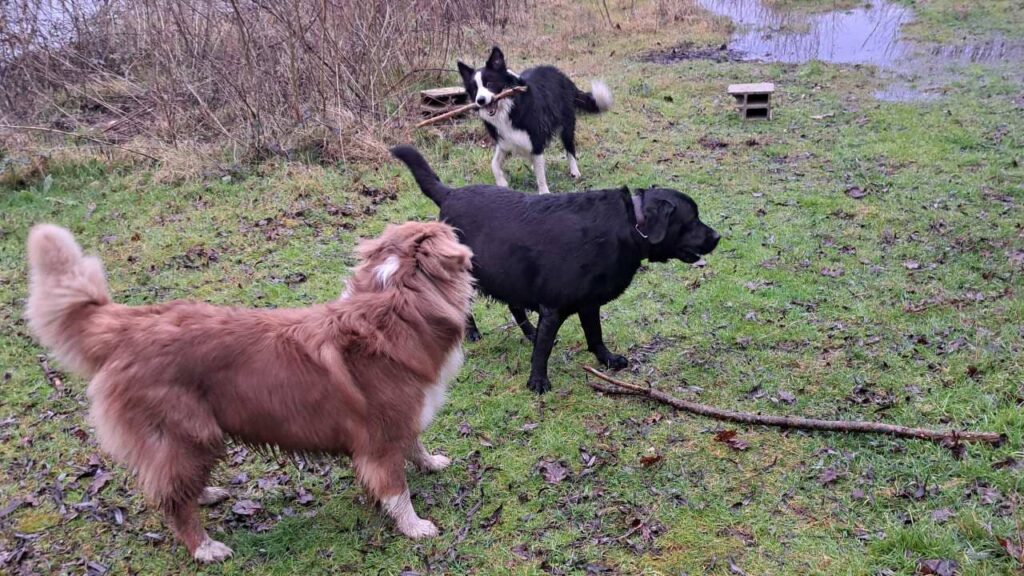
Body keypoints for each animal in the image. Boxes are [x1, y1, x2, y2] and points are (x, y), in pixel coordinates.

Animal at [27, 219, 475, 561]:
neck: (395, 304)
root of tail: (130, 324)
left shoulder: (401, 419)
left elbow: (414, 443)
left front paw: (431, 462)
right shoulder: (379, 437)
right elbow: (396, 488)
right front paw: (415, 527)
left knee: (170, 486)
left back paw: (205, 493)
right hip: (192, 436)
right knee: (173, 504)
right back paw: (205, 548)